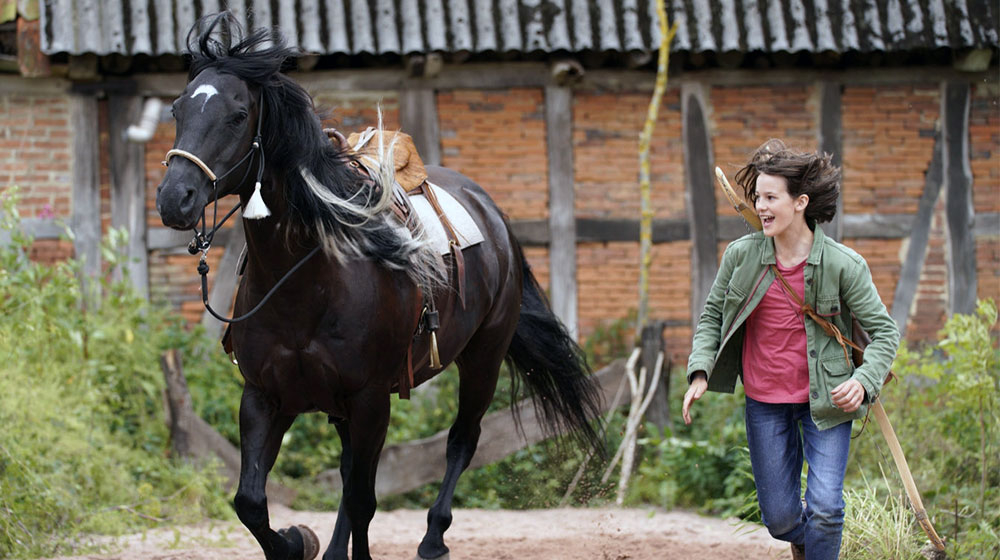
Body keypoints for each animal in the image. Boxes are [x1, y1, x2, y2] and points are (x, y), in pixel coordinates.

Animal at [158, 13, 600, 560]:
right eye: (177, 109)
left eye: (238, 115)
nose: (174, 198)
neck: (306, 285)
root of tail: (491, 213)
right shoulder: (265, 396)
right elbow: (252, 502)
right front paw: (298, 541)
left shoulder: (371, 398)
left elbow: (363, 499)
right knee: (351, 470)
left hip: (483, 358)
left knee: (461, 439)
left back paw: (433, 537)